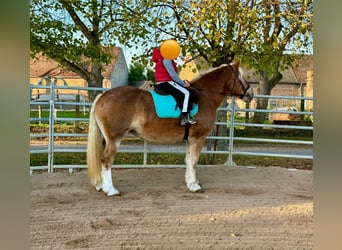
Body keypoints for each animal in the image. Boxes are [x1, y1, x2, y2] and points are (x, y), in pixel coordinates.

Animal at [87, 60, 254, 195]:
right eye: (241, 76)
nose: (250, 94)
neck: (204, 96)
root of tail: (103, 96)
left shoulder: (190, 139)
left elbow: (188, 160)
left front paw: (190, 182)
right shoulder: (198, 138)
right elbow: (194, 161)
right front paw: (194, 186)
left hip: (106, 139)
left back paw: (102, 186)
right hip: (114, 138)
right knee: (107, 160)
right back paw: (111, 190)